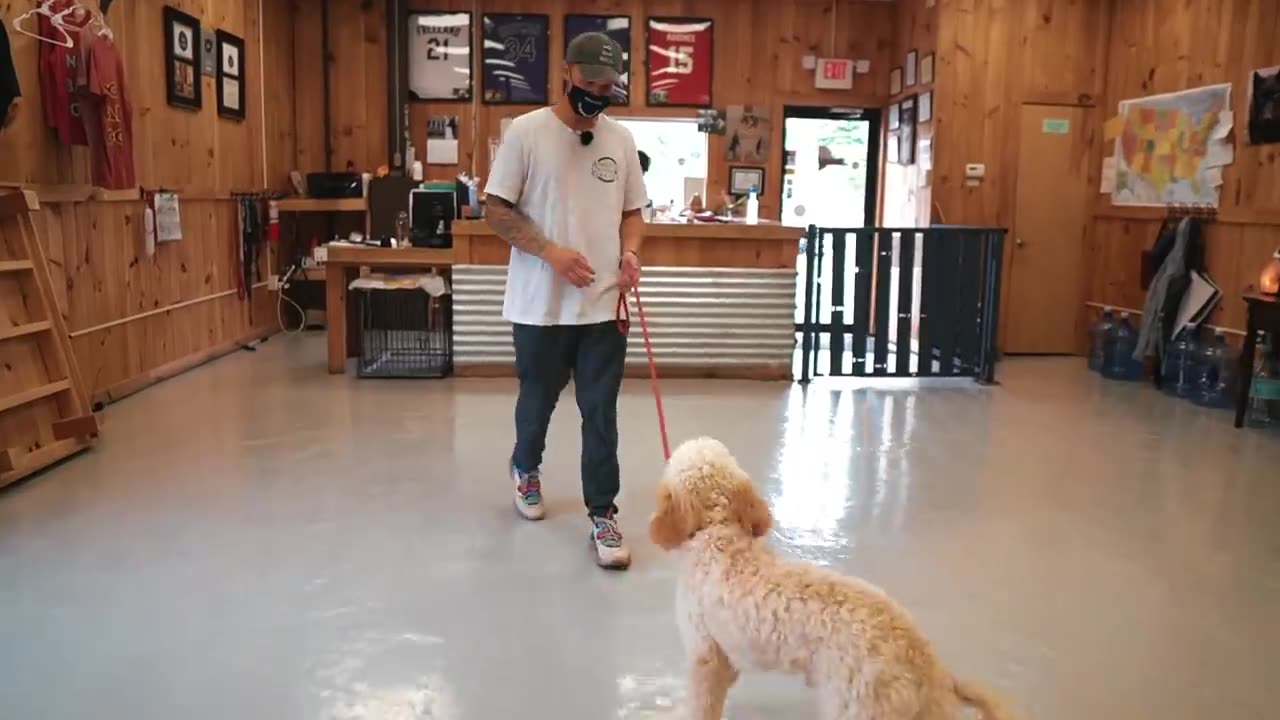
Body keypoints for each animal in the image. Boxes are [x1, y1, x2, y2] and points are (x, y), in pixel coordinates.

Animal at [650, 435, 1008, 717]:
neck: (719, 536)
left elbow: (702, 706)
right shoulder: (725, 661)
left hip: (857, 708)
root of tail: (925, 661)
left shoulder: (705, 658)